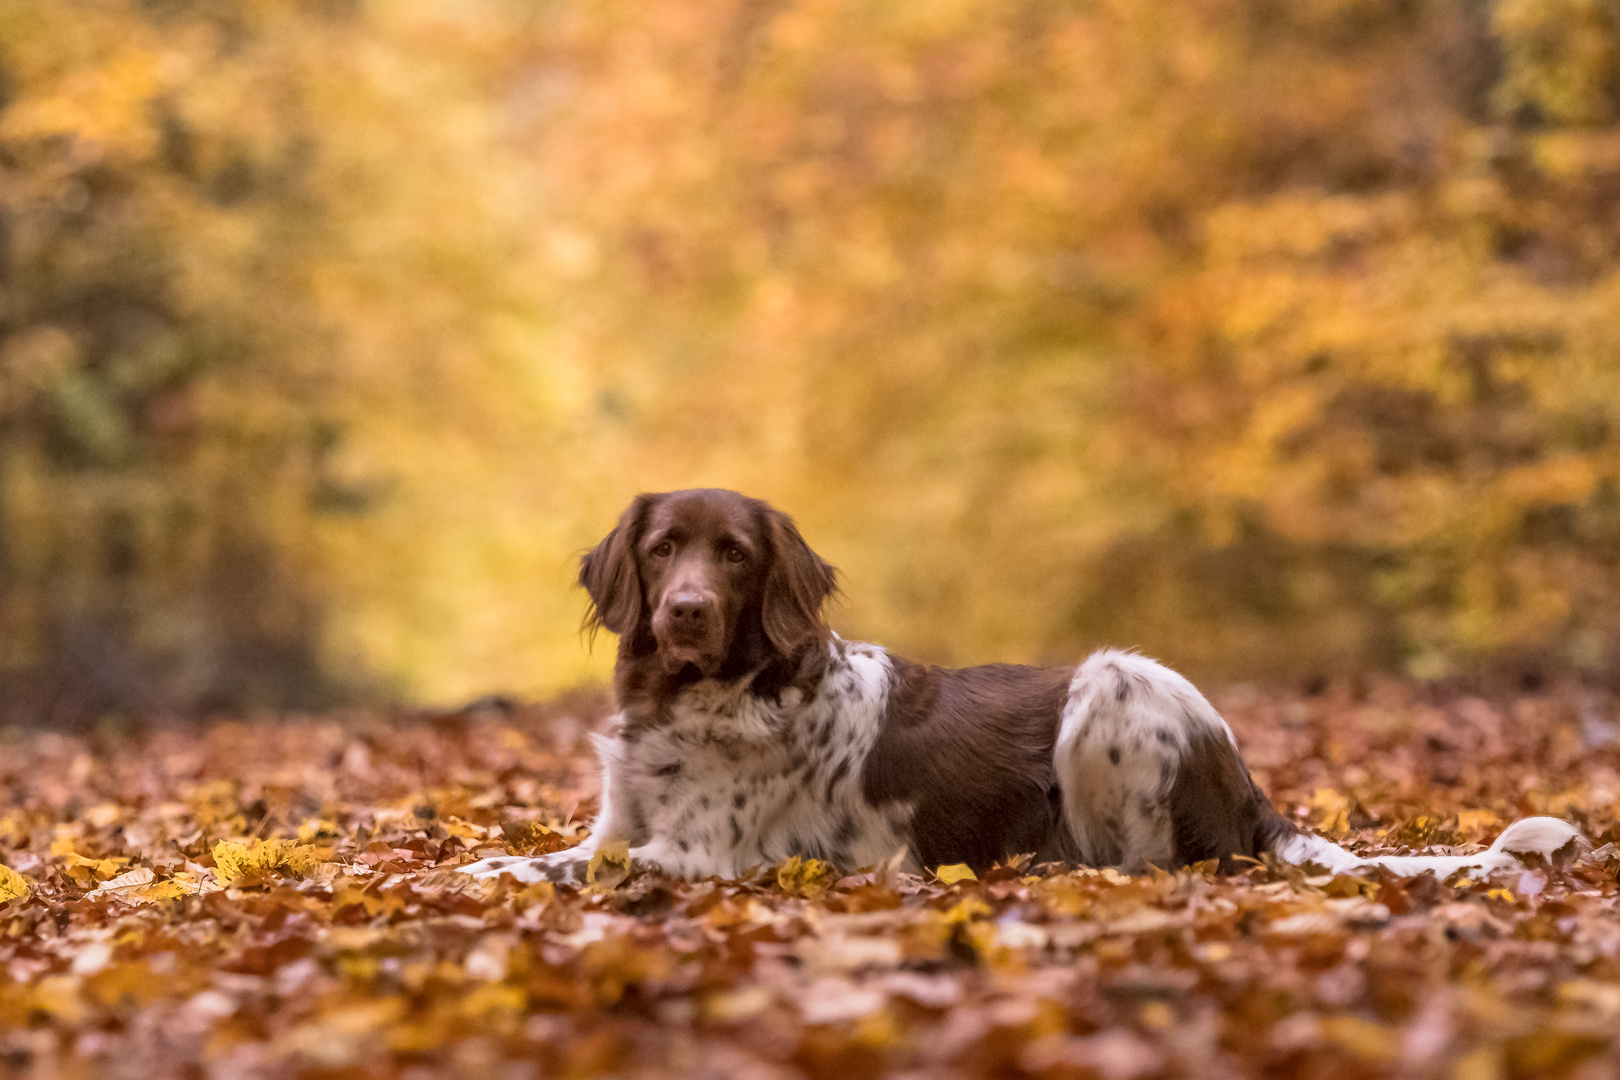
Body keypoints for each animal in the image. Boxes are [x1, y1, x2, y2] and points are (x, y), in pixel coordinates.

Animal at [466, 488, 1581, 887]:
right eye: (663, 549)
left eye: (734, 555)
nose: (686, 612)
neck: (700, 698)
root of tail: (1253, 793)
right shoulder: (624, 822)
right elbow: (553, 855)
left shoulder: (704, 854)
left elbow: (569, 869)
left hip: (1111, 687)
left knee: (1146, 864)